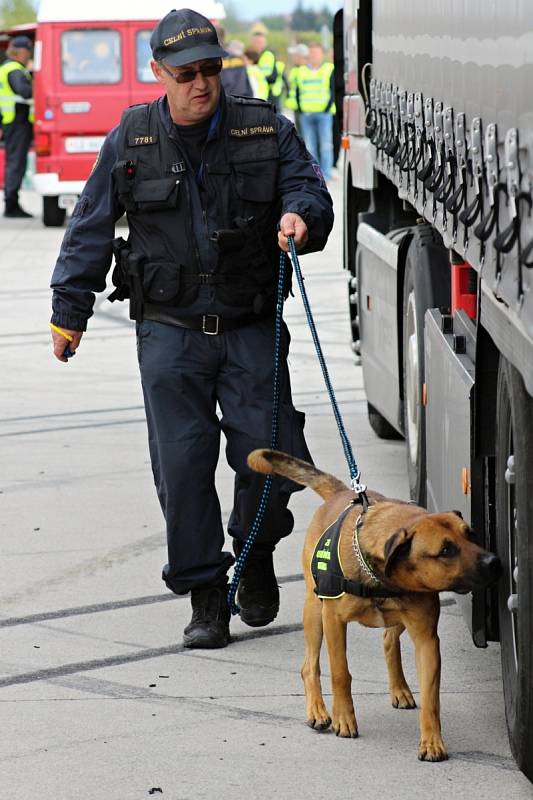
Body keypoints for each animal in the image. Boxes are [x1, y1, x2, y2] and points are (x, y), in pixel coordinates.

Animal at [247, 450, 500, 764]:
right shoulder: (333, 622)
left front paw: (432, 740)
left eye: (472, 534)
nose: (495, 562)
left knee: (389, 640)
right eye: (445, 550)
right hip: (314, 613)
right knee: (309, 666)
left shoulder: (426, 639)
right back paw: (318, 710)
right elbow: (340, 673)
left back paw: (399, 688)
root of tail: (341, 492)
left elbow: (432, 697)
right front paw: (343, 718)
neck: (381, 577)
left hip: (396, 619)